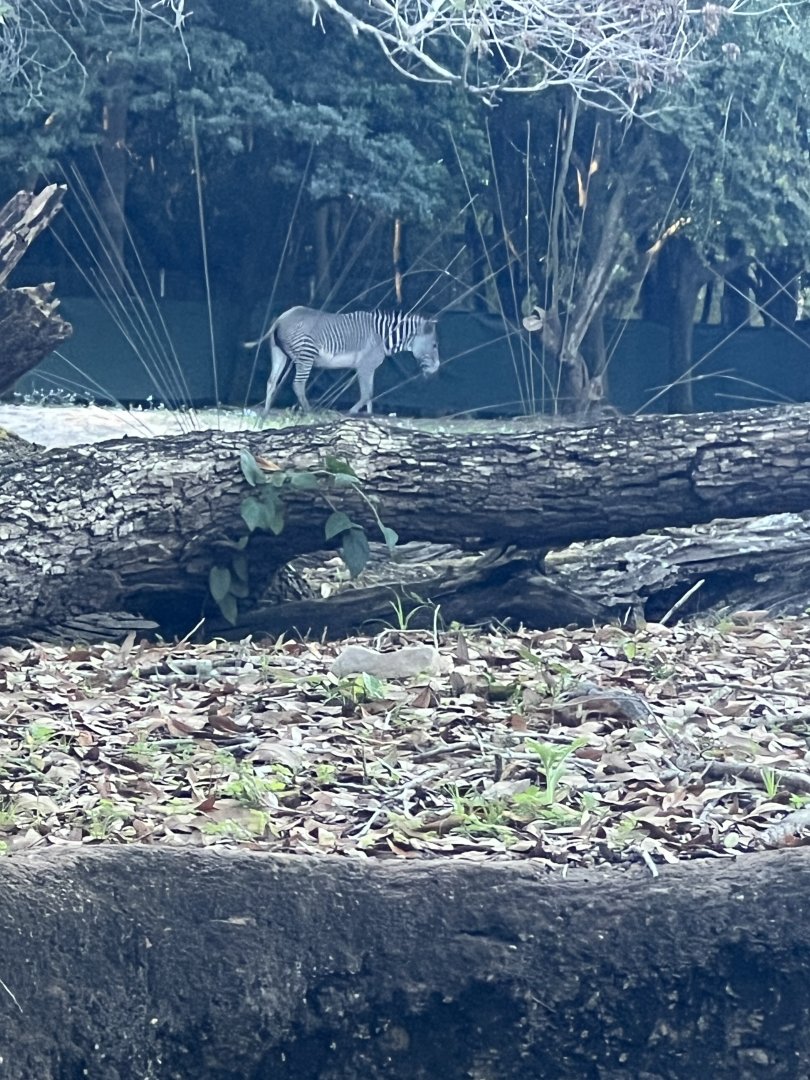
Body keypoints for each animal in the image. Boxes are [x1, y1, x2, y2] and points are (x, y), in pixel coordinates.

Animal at [245, 306, 440, 415]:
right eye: (435, 345)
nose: (437, 368)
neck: (382, 337)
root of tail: (280, 319)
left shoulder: (370, 368)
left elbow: (370, 395)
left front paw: (368, 417)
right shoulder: (364, 367)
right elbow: (366, 394)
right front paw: (352, 413)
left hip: (279, 354)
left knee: (271, 382)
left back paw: (265, 414)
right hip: (306, 355)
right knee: (298, 384)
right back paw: (309, 413)